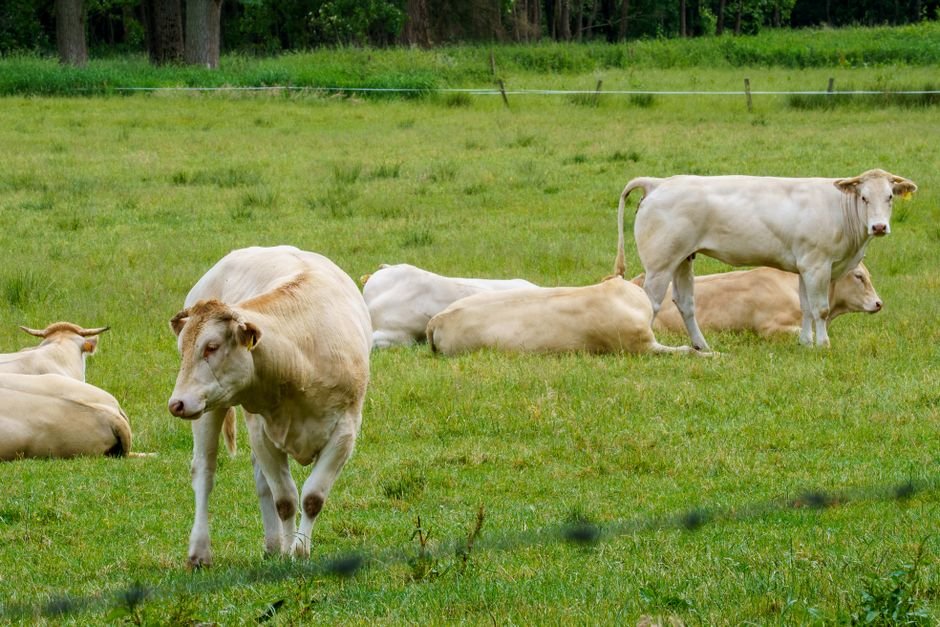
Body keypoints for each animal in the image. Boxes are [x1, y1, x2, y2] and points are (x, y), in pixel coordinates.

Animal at [167, 245, 371, 567]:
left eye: (211, 347)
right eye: (183, 351)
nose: (175, 403)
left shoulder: (345, 432)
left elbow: (312, 498)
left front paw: (298, 550)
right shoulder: (261, 433)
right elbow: (286, 500)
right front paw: (292, 551)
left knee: (261, 481)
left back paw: (273, 545)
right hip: (207, 411)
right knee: (204, 472)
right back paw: (200, 552)